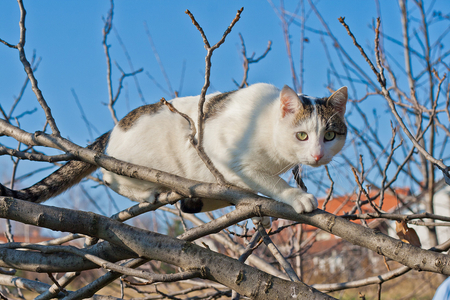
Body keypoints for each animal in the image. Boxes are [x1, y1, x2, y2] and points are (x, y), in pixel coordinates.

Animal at [0, 83, 348, 221]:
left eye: (330, 135)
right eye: (302, 135)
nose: (318, 155)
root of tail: (114, 128)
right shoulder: (228, 157)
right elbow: (270, 181)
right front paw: (296, 196)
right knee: (110, 177)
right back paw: (152, 192)